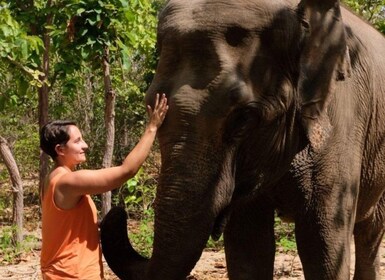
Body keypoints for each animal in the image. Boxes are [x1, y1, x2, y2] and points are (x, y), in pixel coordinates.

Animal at [100, 0, 384, 278]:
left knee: (370, 233)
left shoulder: (340, 120)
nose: (118, 211)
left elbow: (322, 247)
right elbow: (248, 246)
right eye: (150, 103)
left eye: (244, 117)